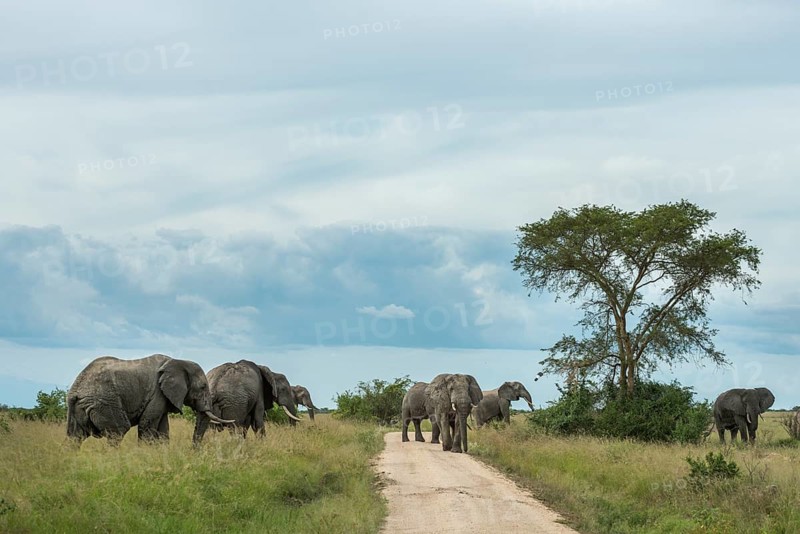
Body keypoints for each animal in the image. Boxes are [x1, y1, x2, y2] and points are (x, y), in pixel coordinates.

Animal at [66, 354, 232, 447]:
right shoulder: (157, 394)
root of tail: (76, 389)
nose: (194, 451)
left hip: (78, 408)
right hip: (104, 403)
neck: (178, 361)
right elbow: (147, 425)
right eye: (203, 387)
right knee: (119, 431)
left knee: (75, 437)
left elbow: (163, 430)